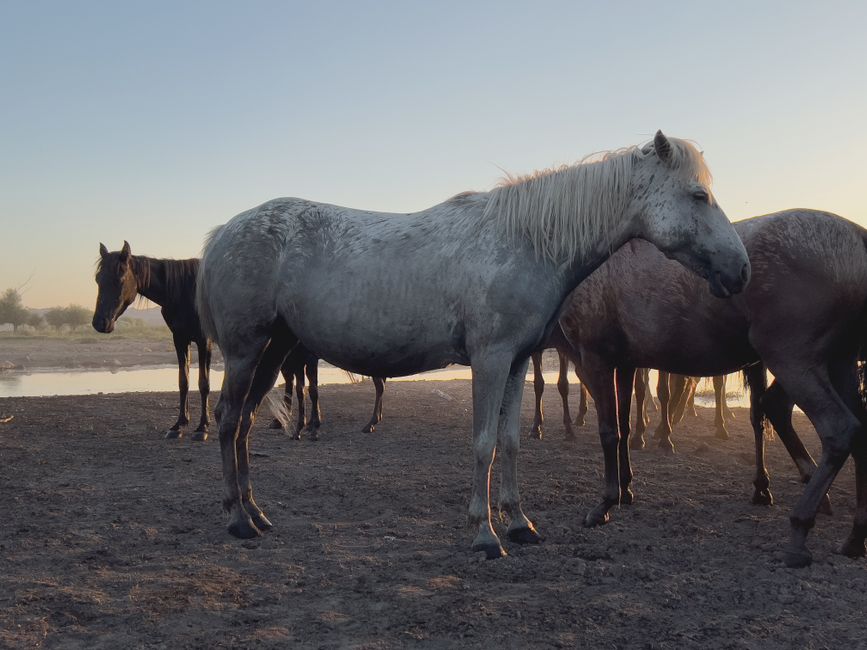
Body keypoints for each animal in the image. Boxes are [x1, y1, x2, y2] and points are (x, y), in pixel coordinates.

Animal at [196, 131, 749, 559]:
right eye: (698, 196)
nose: (740, 270)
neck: (526, 241)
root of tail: (226, 232)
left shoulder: (518, 362)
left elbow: (511, 441)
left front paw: (519, 524)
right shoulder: (490, 359)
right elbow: (483, 443)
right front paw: (485, 534)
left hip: (272, 352)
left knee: (244, 422)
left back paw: (255, 512)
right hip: (246, 352)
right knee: (227, 420)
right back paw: (236, 519)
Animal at [556, 209, 867, 567]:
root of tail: (855, 234)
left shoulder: (596, 359)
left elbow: (608, 431)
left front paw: (605, 504)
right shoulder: (624, 363)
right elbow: (623, 426)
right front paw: (625, 489)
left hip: (796, 363)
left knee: (838, 430)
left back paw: (799, 532)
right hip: (840, 364)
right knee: (859, 434)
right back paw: (855, 539)